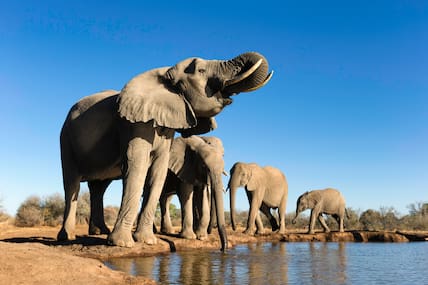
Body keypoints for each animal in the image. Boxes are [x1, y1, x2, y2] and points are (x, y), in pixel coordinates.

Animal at [56, 52, 272, 250]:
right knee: (72, 184)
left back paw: (99, 232)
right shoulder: (134, 123)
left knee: (98, 187)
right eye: (201, 71)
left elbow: (158, 171)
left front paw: (147, 241)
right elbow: (137, 166)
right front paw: (123, 244)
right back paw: (67, 237)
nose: (223, 249)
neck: (164, 73)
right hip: (66, 138)